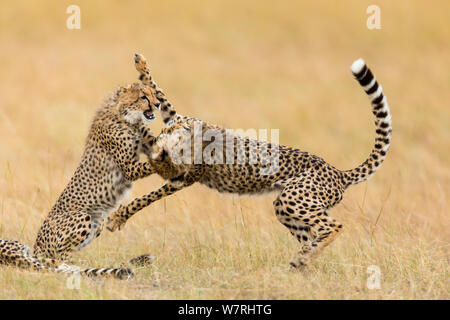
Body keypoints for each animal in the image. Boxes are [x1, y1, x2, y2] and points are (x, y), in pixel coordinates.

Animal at [0, 58, 162, 278]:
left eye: (153, 94)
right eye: (143, 97)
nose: (157, 104)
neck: (125, 115)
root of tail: (36, 248)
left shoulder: (149, 142)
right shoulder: (129, 167)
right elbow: (152, 162)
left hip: (99, 221)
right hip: (83, 216)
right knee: (59, 258)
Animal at [107, 55, 392, 270]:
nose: (160, 146)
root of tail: (338, 172)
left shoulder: (183, 177)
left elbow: (147, 198)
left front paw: (118, 217)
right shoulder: (176, 124)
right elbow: (162, 97)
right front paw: (141, 66)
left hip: (294, 199)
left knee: (334, 227)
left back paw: (304, 257)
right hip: (286, 206)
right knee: (310, 235)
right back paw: (301, 261)